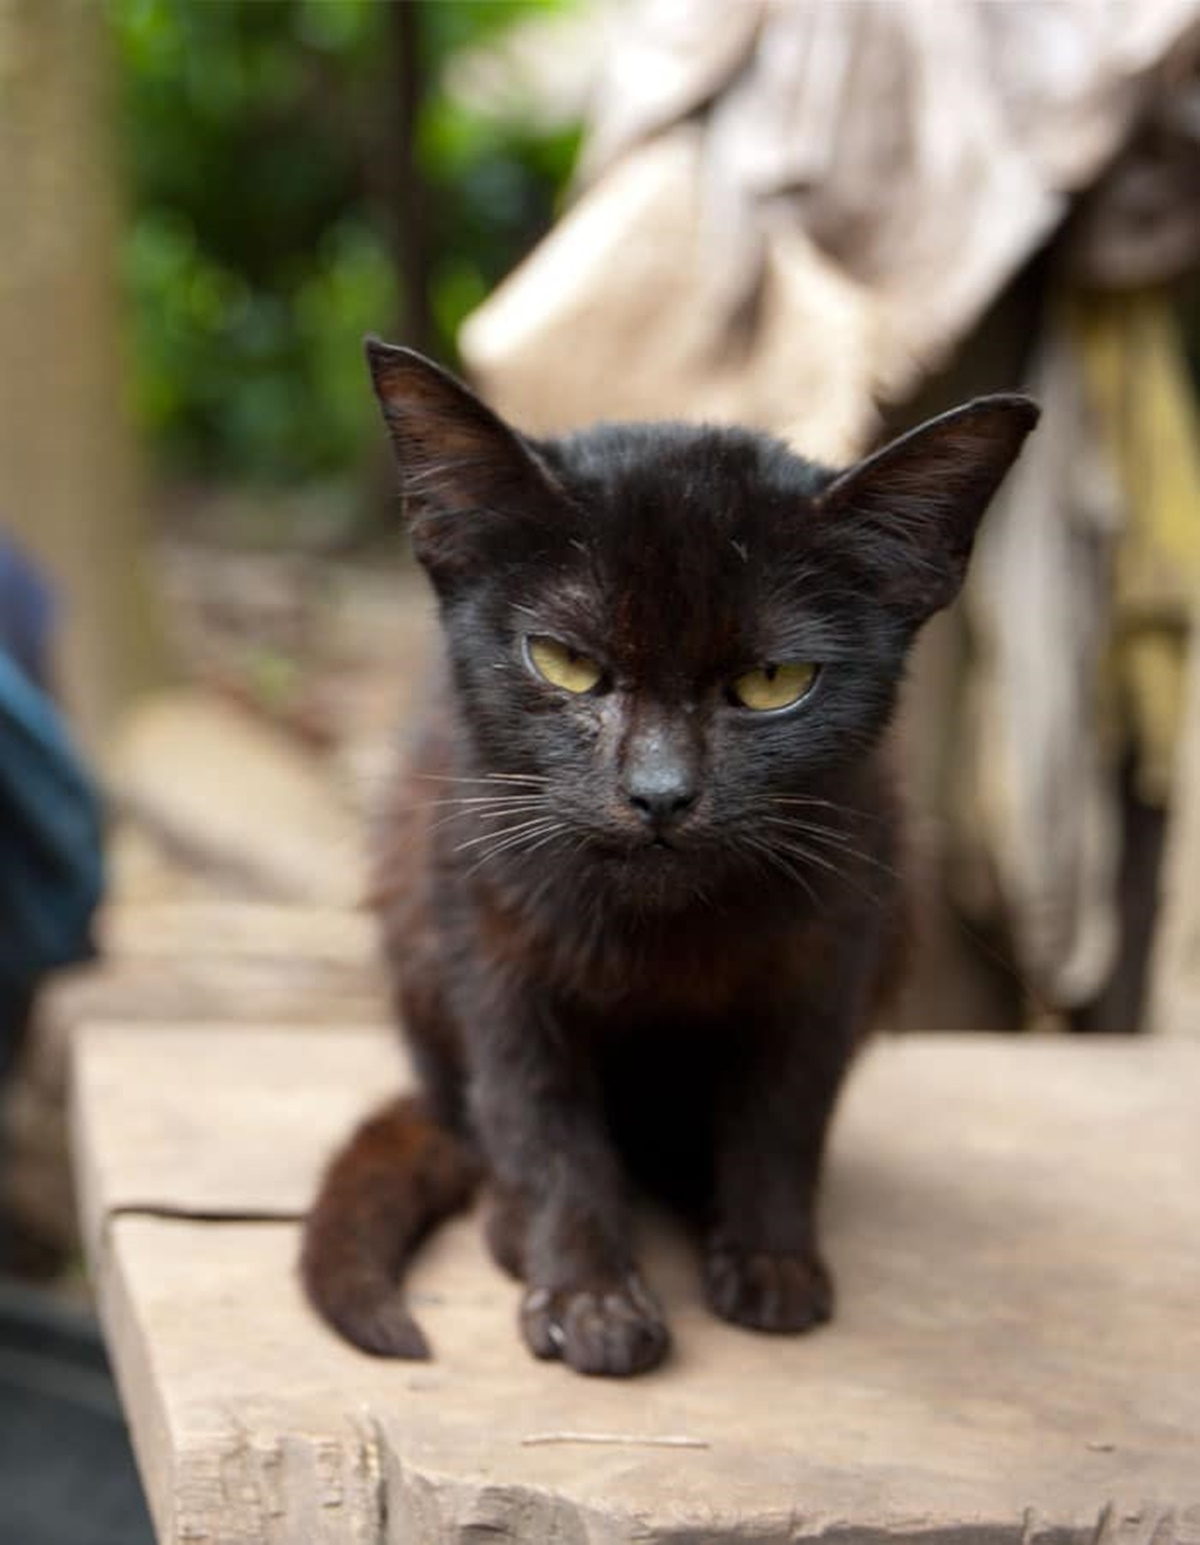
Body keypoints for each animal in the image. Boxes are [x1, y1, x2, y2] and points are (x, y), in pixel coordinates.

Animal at [294, 347, 1031, 1378]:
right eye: (563, 662)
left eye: (773, 682)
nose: (660, 793)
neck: (662, 933)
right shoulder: (488, 939)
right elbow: (541, 1123)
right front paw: (589, 1296)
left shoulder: (834, 945)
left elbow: (782, 1112)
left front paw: (771, 1261)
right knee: (479, 1124)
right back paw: (514, 1226)